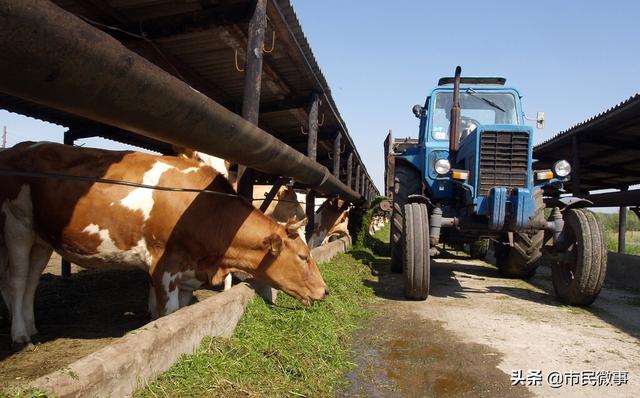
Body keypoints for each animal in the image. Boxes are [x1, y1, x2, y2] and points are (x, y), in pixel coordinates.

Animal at [0, 142, 328, 348]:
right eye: (303, 256)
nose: (325, 291)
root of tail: (19, 146)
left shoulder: (187, 276)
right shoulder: (163, 268)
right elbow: (168, 317)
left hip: (42, 238)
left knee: (31, 282)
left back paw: (31, 326)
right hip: (17, 225)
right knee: (16, 281)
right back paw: (20, 334)